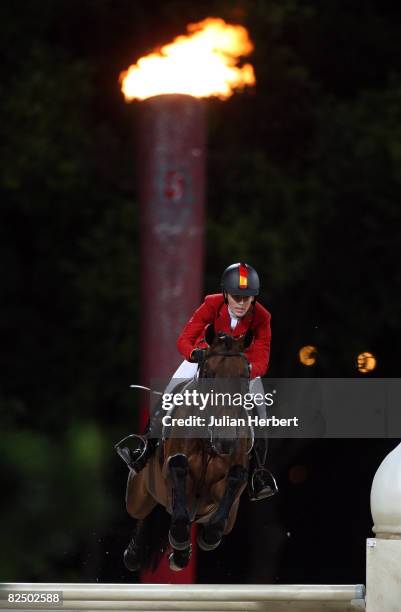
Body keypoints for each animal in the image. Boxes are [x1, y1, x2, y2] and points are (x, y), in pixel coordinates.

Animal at [122, 328, 253, 572]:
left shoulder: (223, 493)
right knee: (144, 510)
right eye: (209, 374)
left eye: (245, 376)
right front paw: (180, 538)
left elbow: (235, 479)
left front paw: (205, 537)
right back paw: (136, 553)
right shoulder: (172, 473)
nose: (225, 441)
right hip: (137, 495)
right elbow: (178, 465)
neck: (209, 444)